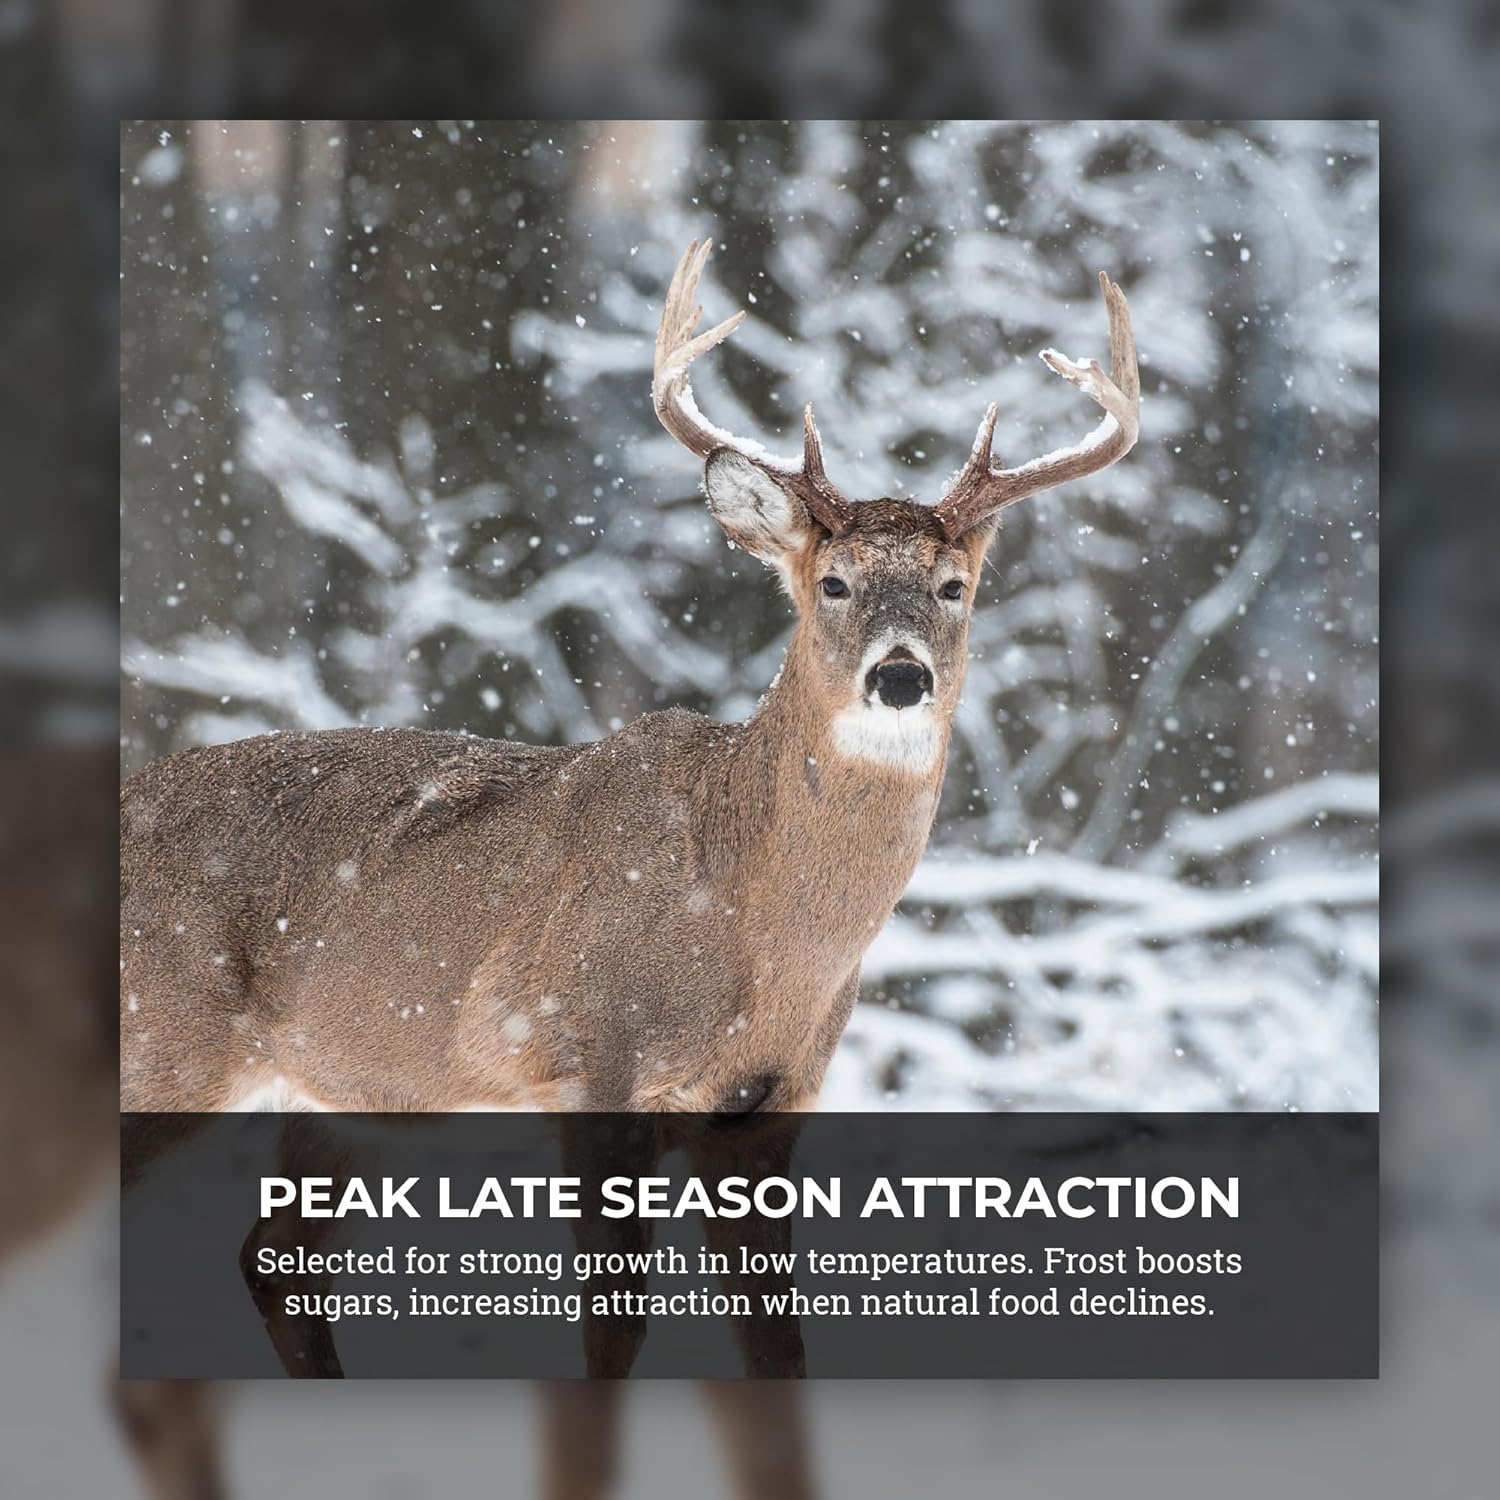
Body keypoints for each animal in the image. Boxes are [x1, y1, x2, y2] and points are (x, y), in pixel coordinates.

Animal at [120, 237, 1137, 1497]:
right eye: (834, 582)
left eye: (955, 588)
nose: (900, 677)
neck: (751, 921)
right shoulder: (592, 1057)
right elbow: (613, 1329)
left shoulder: (769, 1104)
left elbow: (776, 1353)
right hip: (164, 1041)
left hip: (348, 1090)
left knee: (273, 1256)